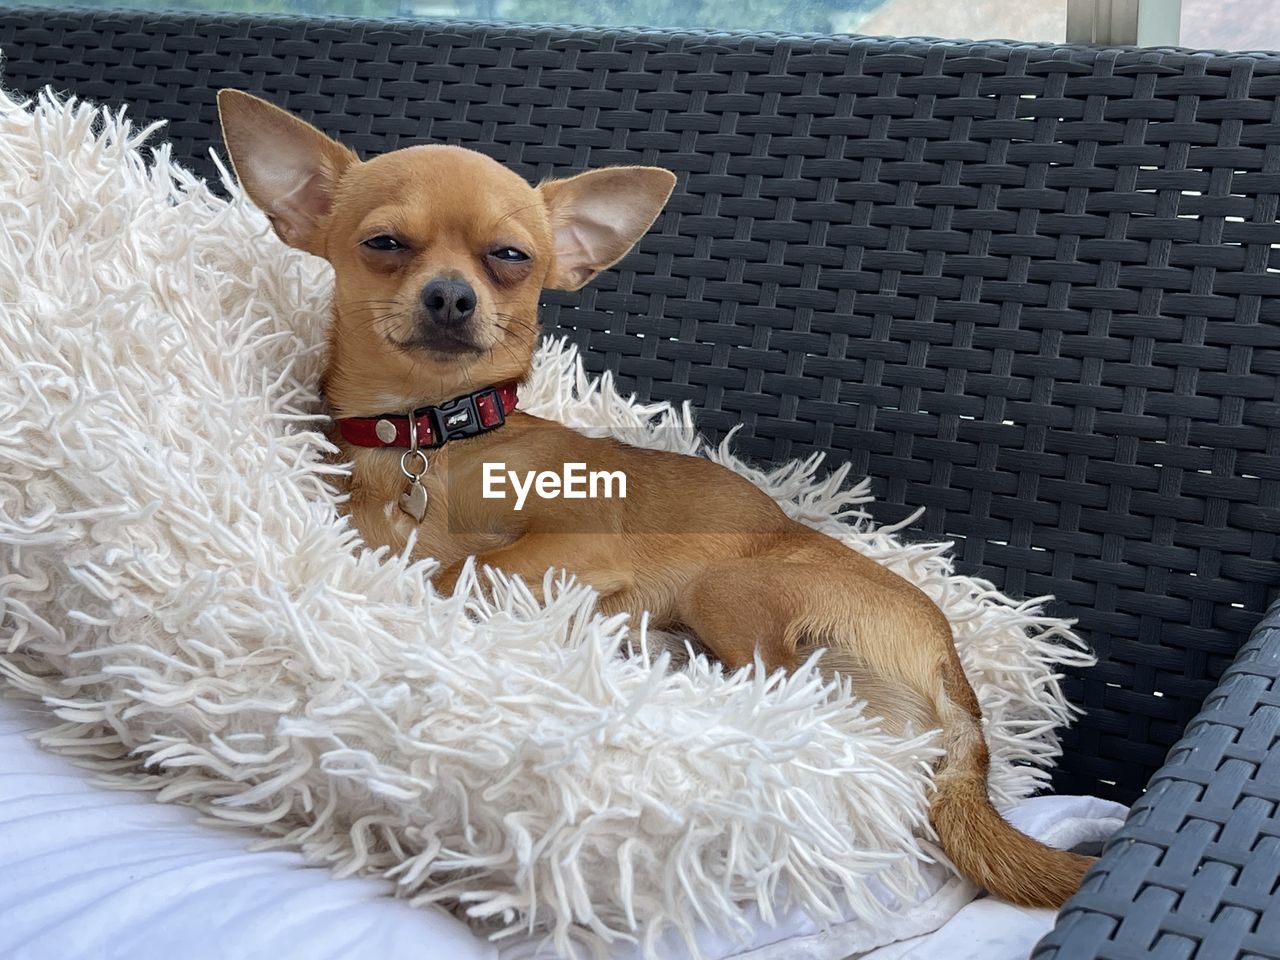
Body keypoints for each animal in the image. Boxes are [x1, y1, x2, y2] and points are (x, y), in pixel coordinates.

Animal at [217, 90, 1090, 911]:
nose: (451, 297)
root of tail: (959, 682)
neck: (436, 439)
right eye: (384, 245)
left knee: (779, 692)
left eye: (510, 257)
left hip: (729, 588)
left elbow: (460, 569)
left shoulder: (574, 542)